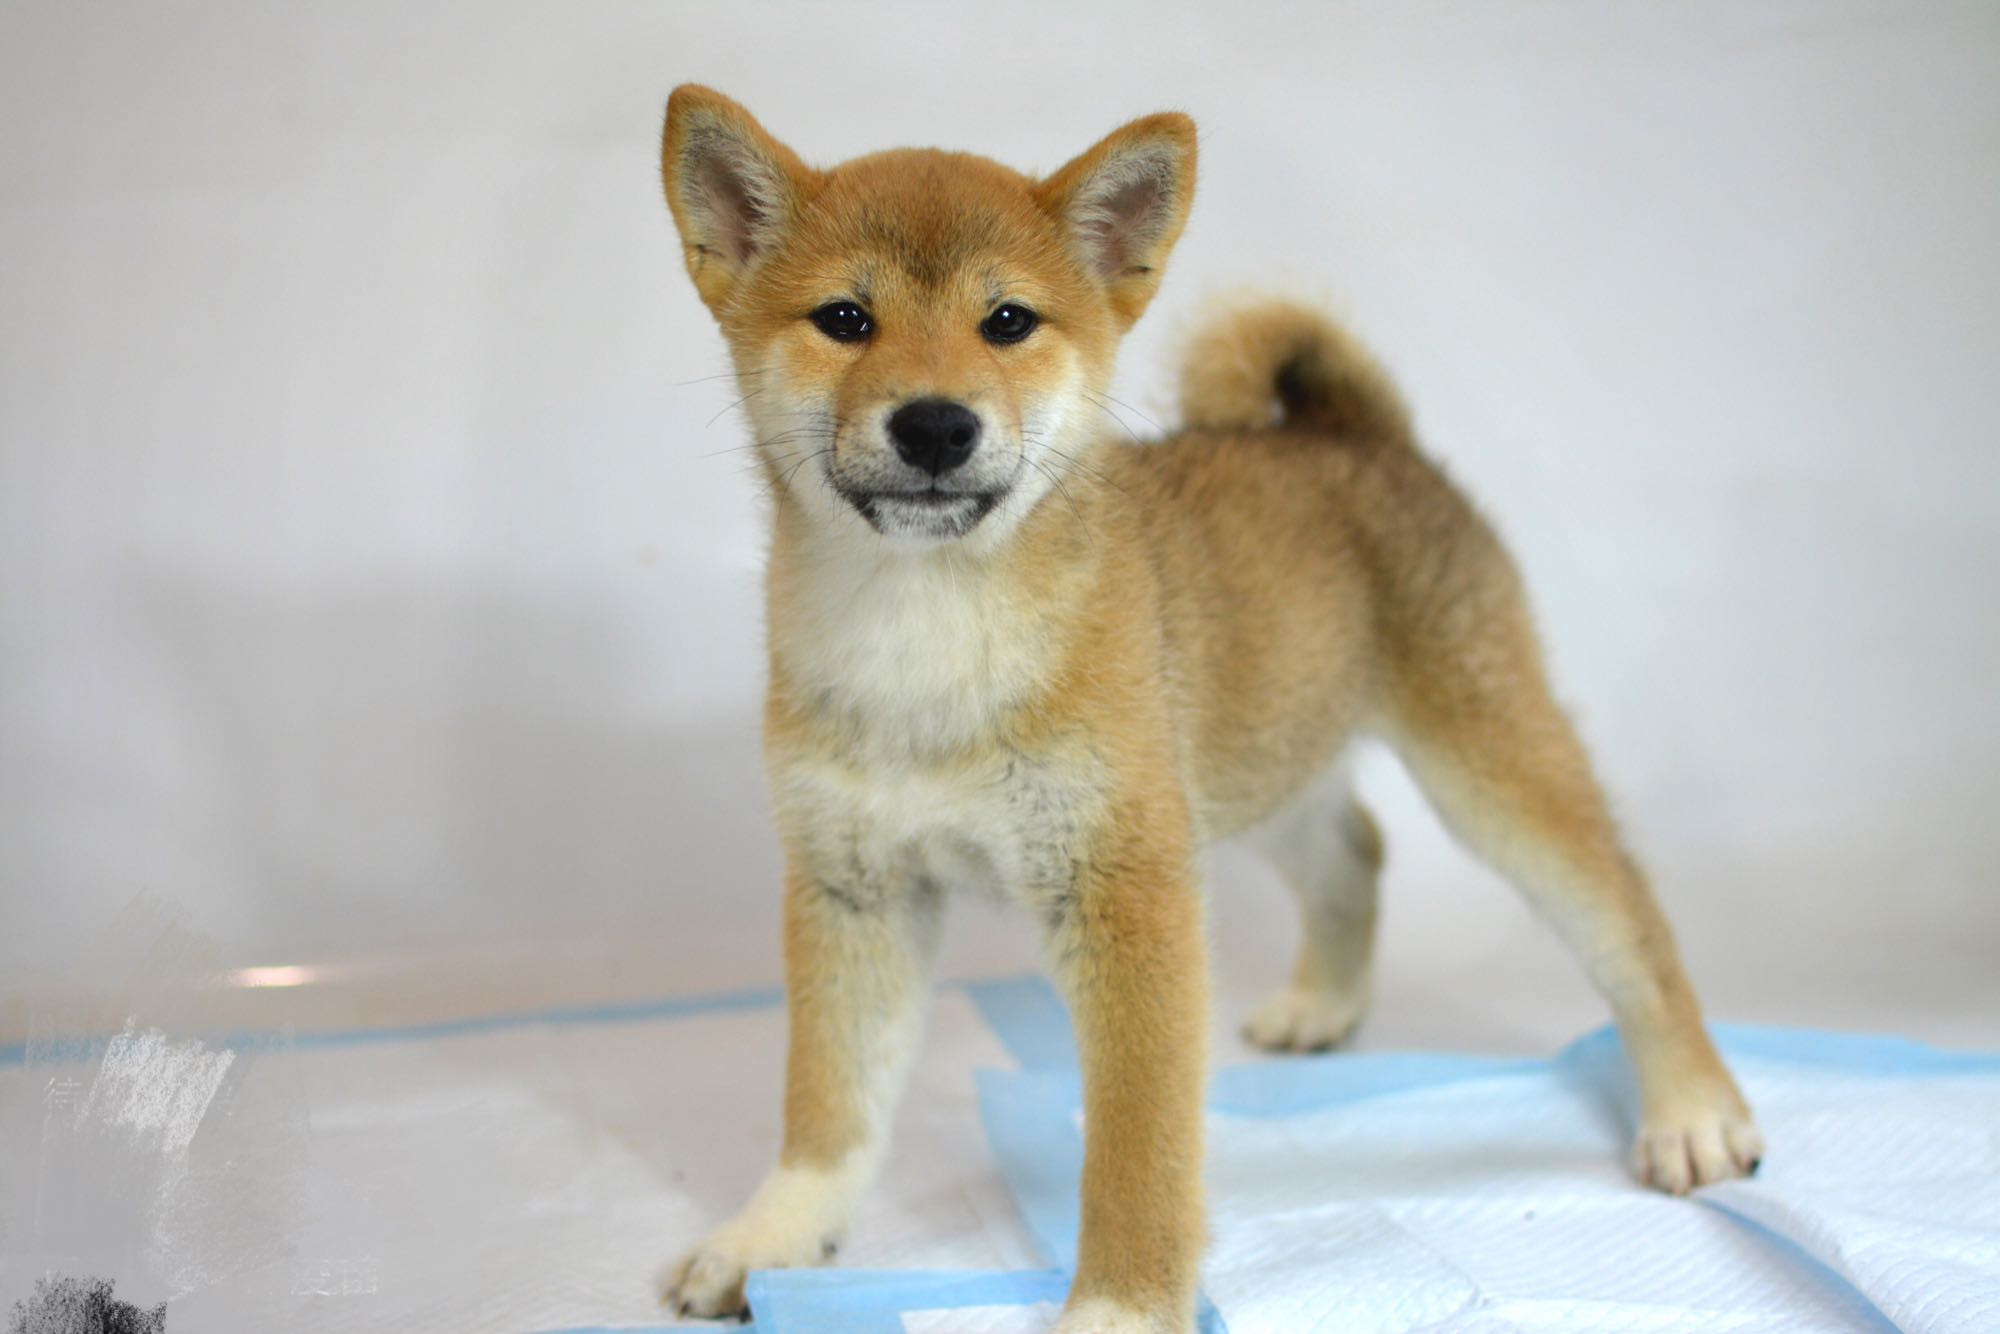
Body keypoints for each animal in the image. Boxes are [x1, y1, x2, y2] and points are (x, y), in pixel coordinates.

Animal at [655, 85, 1762, 1333]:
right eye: (844, 318)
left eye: (1006, 321)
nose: (935, 424)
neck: (926, 635)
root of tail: (1352, 434)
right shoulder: (853, 886)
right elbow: (827, 1106)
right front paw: (775, 1236)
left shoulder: (1127, 889)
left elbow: (1139, 1145)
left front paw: (1120, 1306)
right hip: (1253, 759)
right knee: (1356, 846)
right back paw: (1325, 1003)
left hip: (1482, 765)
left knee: (1628, 921)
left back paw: (1692, 1108)